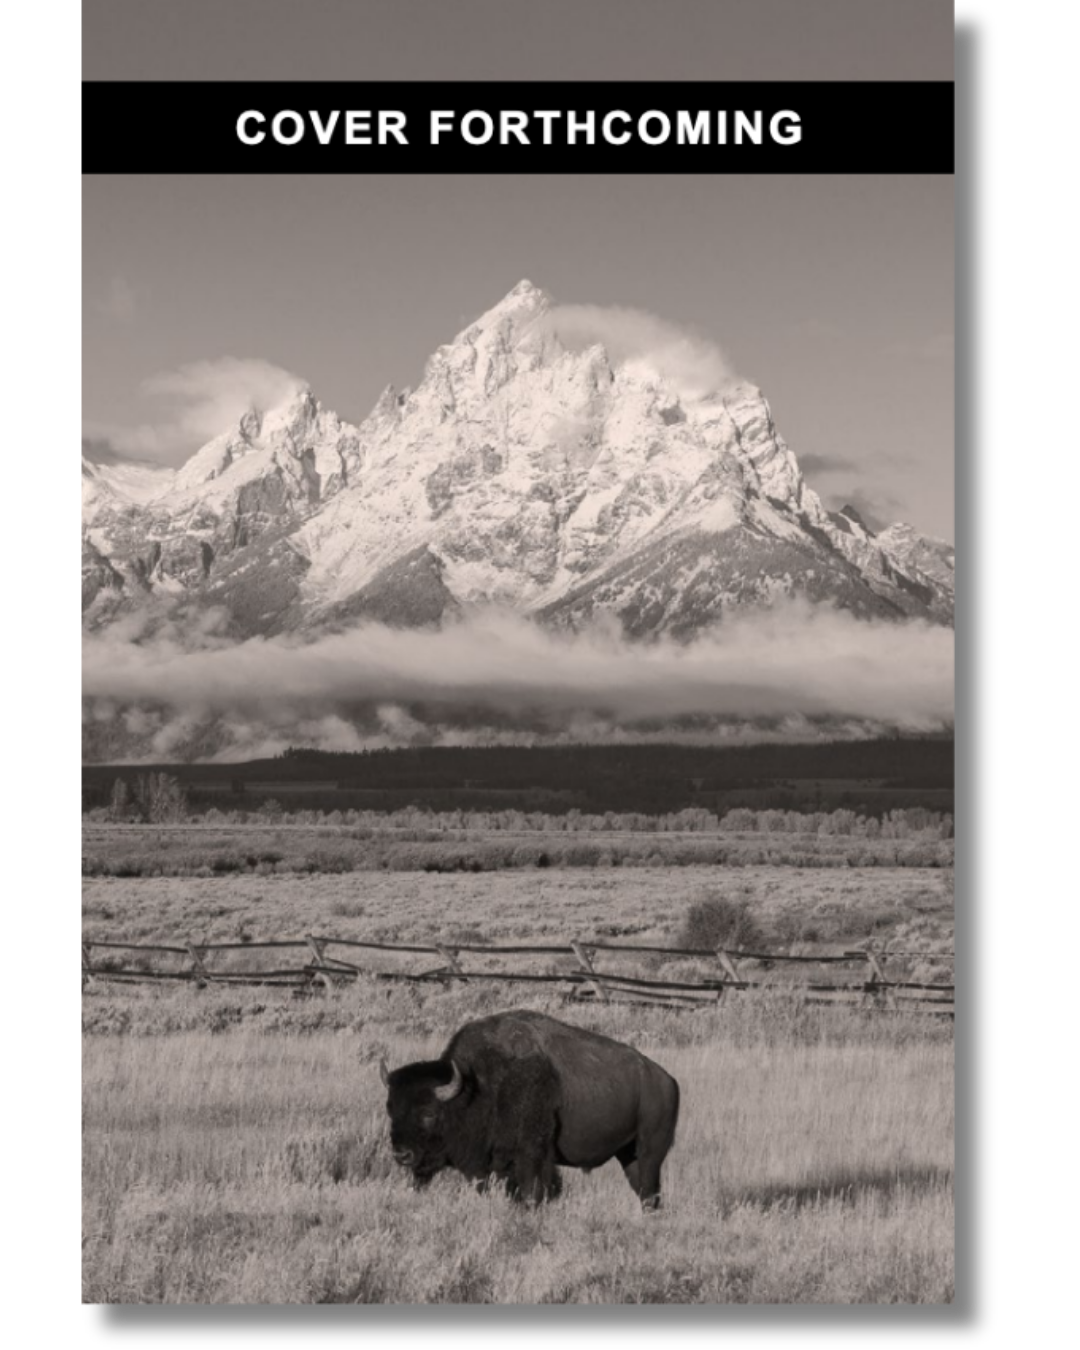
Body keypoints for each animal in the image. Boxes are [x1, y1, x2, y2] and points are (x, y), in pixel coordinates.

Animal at [379, 1009, 680, 1210]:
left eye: (429, 1113)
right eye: (391, 1109)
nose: (402, 1155)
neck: (477, 1085)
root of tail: (667, 1081)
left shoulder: (531, 1157)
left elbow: (532, 1192)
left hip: (650, 1151)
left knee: (650, 1189)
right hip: (628, 1155)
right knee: (644, 1191)